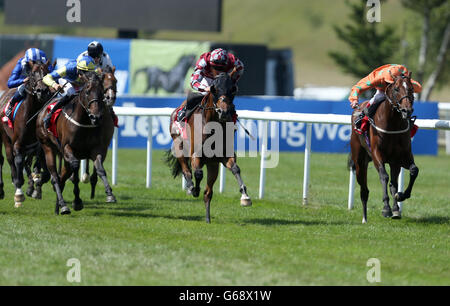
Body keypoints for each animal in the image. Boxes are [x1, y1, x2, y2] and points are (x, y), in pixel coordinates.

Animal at [0, 60, 52, 207]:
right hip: (6, 140)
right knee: (9, 161)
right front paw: (19, 194)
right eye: (33, 73)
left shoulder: (40, 147)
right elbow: (18, 163)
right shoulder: (18, 144)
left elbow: (44, 173)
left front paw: (35, 188)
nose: (42, 90)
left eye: (47, 72)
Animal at [36, 71, 116, 215]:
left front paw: (109, 194)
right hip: (48, 146)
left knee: (61, 176)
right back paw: (63, 205)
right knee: (55, 176)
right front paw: (77, 201)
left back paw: (58, 204)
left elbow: (100, 168)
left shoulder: (97, 149)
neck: (83, 122)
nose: (96, 117)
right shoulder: (67, 148)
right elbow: (75, 170)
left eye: (101, 92)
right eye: (87, 92)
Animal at [165, 71, 251, 224]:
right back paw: (191, 187)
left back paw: (207, 218)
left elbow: (236, 168)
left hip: (213, 165)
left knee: (208, 193)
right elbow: (198, 173)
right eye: (214, 89)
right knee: (187, 171)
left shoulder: (224, 156)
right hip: (178, 144)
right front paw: (194, 189)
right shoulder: (196, 155)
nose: (223, 112)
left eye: (232, 89)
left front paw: (245, 196)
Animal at [352, 73, 418, 224]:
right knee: (364, 190)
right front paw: (386, 208)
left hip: (394, 163)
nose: (407, 110)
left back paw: (396, 209)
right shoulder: (377, 155)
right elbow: (384, 176)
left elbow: (413, 170)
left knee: (393, 183)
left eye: (411, 89)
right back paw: (364, 218)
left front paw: (401, 196)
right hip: (360, 161)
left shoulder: (402, 157)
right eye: (396, 89)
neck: (392, 124)